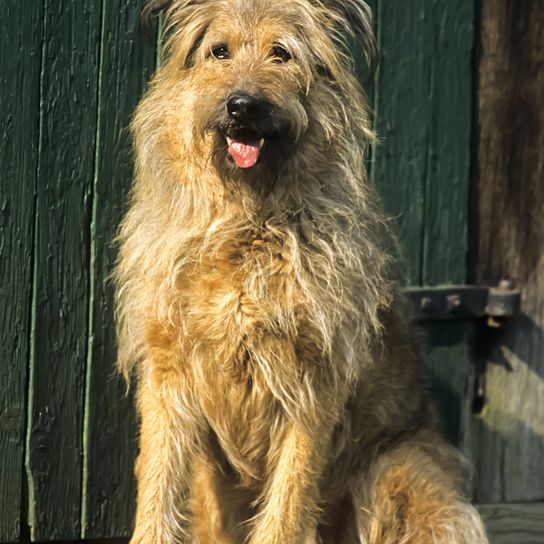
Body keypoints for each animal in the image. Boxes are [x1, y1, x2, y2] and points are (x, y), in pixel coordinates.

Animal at [115, 1, 488, 544]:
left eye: (281, 53)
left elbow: (288, 502)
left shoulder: (310, 382)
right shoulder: (169, 372)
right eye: (219, 51)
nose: (242, 106)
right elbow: (159, 485)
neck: (247, 223)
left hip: (396, 469)